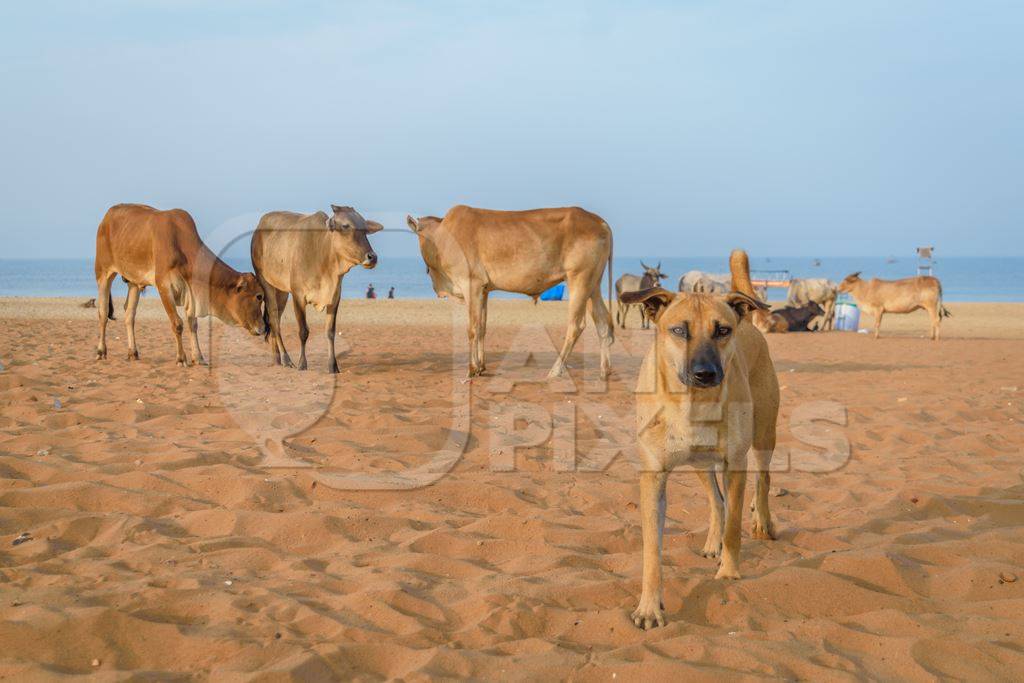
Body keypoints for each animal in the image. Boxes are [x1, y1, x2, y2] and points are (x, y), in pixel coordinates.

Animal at [93, 202, 266, 366]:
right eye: (259, 296)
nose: (264, 327)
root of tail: (106, 217)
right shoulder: (164, 286)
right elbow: (177, 323)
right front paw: (181, 358)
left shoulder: (191, 293)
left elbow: (193, 324)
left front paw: (198, 357)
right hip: (103, 273)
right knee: (103, 312)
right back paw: (101, 351)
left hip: (134, 282)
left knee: (129, 315)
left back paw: (133, 352)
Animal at [249, 205, 382, 374]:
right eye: (346, 226)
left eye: (365, 228)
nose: (372, 257)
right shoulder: (298, 296)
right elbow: (303, 331)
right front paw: (302, 364)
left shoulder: (335, 297)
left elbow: (330, 332)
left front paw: (333, 366)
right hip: (266, 284)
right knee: (274, 320)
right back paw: (286, 359)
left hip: (282, 292)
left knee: (275, 320)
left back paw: (277, 359)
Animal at [405, 205, 614, 382]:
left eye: (419, 232)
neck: (443, 236)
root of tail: (600, 222)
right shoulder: (483, 290)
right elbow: (482, 327)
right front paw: (481, 367)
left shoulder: (471, 284)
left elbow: (472, 329)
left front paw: (471, 370)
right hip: (593, 284)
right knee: (603, 322)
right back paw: (604, 371)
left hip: (579, 279)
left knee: (576, 325)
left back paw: (555, 371)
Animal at [618, 249, 778, 630]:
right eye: (679, 330)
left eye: (722, 331)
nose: (705, 374)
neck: (692, 404)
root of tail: (750, 322)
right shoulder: (654, 477)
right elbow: (652, 550)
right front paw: (649, 606)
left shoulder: (735, 464)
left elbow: (734, 524)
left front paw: (730, 573)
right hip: (702, 464)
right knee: (716, 502)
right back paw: (712, 542)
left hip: (764, 435)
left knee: (763, 480)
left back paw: (762, 522)